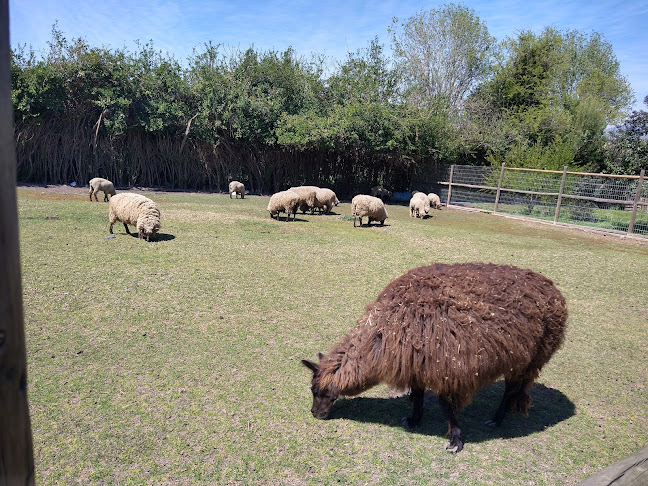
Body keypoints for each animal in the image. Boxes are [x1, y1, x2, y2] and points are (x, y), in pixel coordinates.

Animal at [302, 262, 568, 452]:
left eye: (318, 392)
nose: (315, 414)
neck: (384, 334)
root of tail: (553, 290)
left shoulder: (446, 369)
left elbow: (446, 406)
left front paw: (455, 441)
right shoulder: (418, 362)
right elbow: (418, 395)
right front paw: (413, 420)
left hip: (528, 358)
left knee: (511, 390)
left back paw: (496, 419)